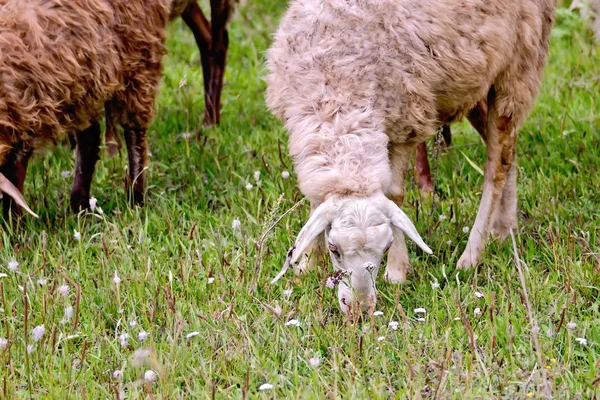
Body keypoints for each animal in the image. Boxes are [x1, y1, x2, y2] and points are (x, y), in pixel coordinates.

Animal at [0, 0, 171, 216]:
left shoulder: (28, 108)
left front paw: (13, 221)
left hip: (139, 57)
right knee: (90, 137)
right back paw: (79, 205)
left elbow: (13, 175)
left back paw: (135, 199)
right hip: (84, 81)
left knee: (135, 135)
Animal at [264, 0, 556, 314]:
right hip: (474, 82)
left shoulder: (406, 123)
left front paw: (396, 272)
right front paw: (307, 265)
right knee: (506, 150)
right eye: (334, 249)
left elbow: (395, 195)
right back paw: (505, 230)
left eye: (385, 246)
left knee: (497, 164)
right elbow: (316, 202)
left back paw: (472, 254)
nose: (360, 310)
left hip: (517, 68)